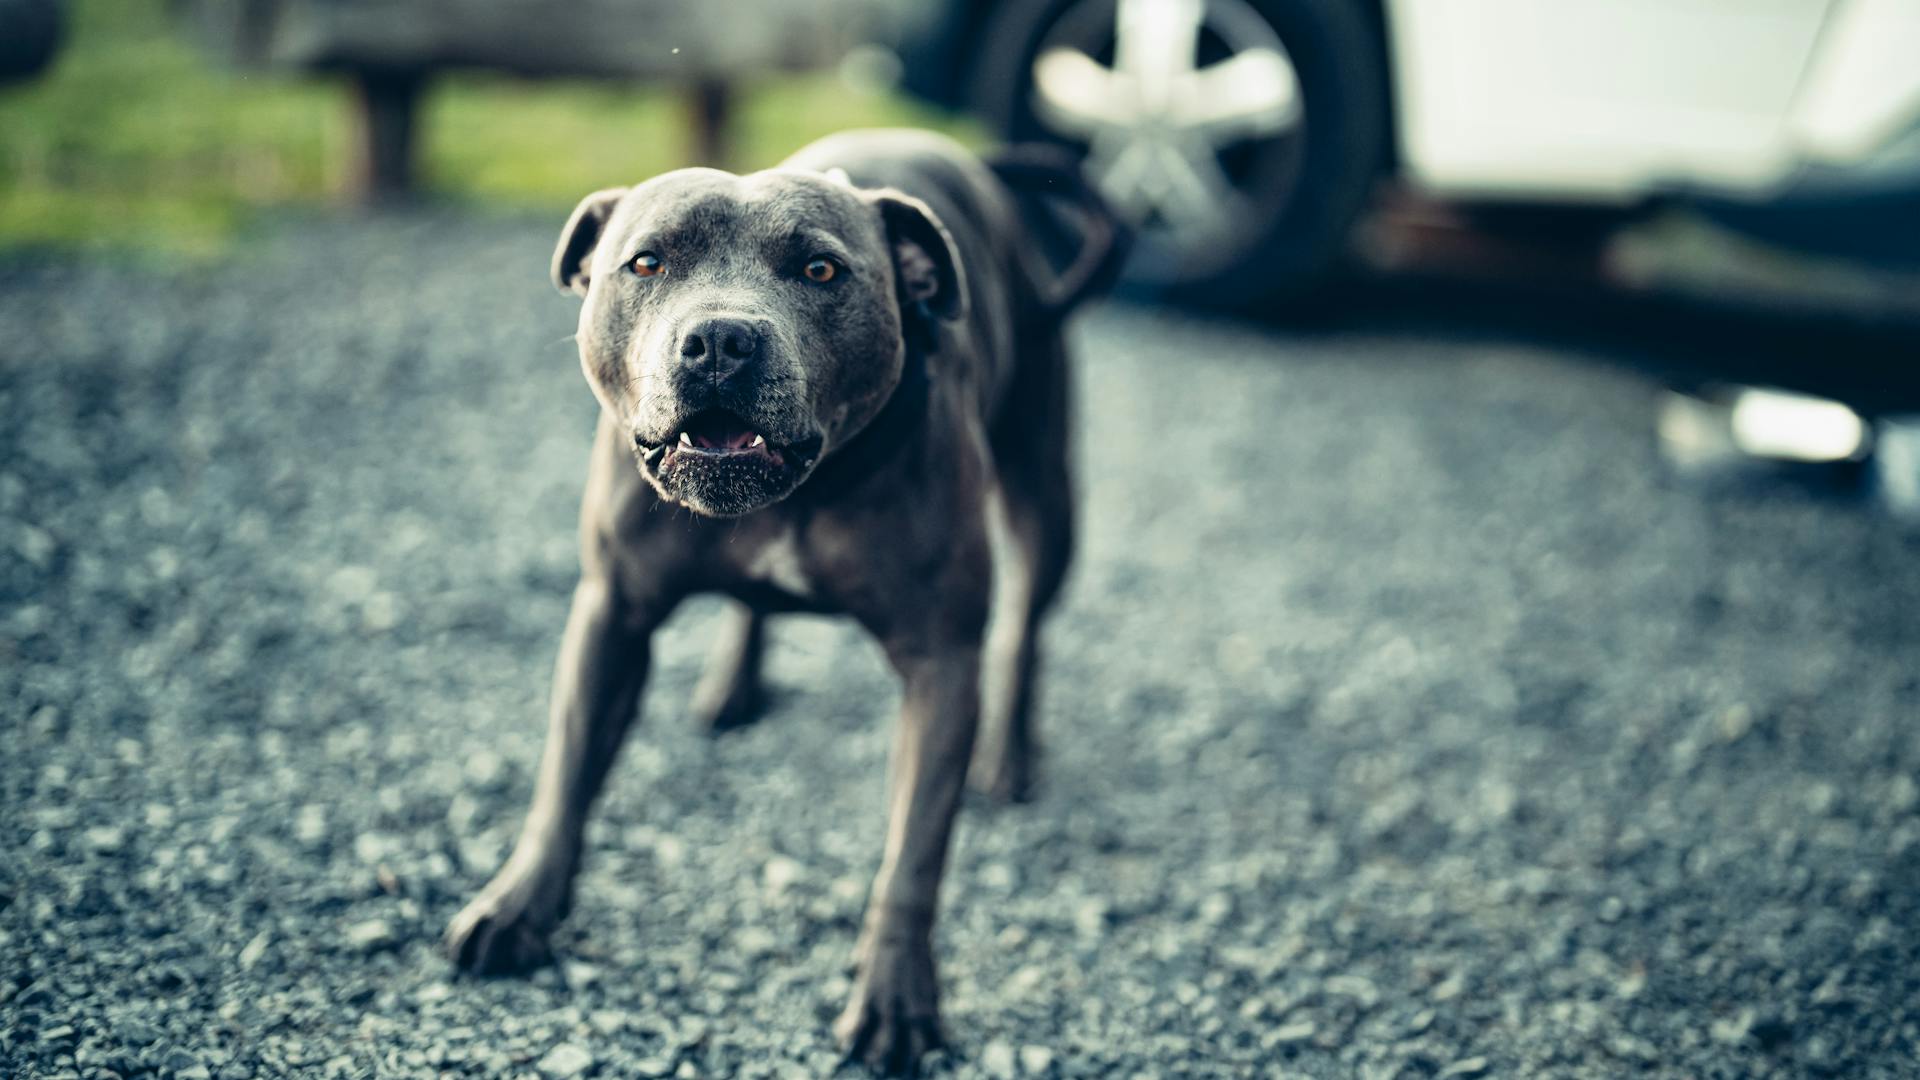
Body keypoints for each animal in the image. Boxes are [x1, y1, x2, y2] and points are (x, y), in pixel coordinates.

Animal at [441, 127, 1121, 1068]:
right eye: (646, 263)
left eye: (822, 271)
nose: (720, 339)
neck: (803, 491)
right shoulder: (612, 614)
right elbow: (566, 775)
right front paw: (518, 906)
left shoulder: (942, 664)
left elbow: (915, 851)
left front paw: (896, 995)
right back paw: (733, 688)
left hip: (1044, 491)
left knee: (1025, 629)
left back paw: (1010, 755)